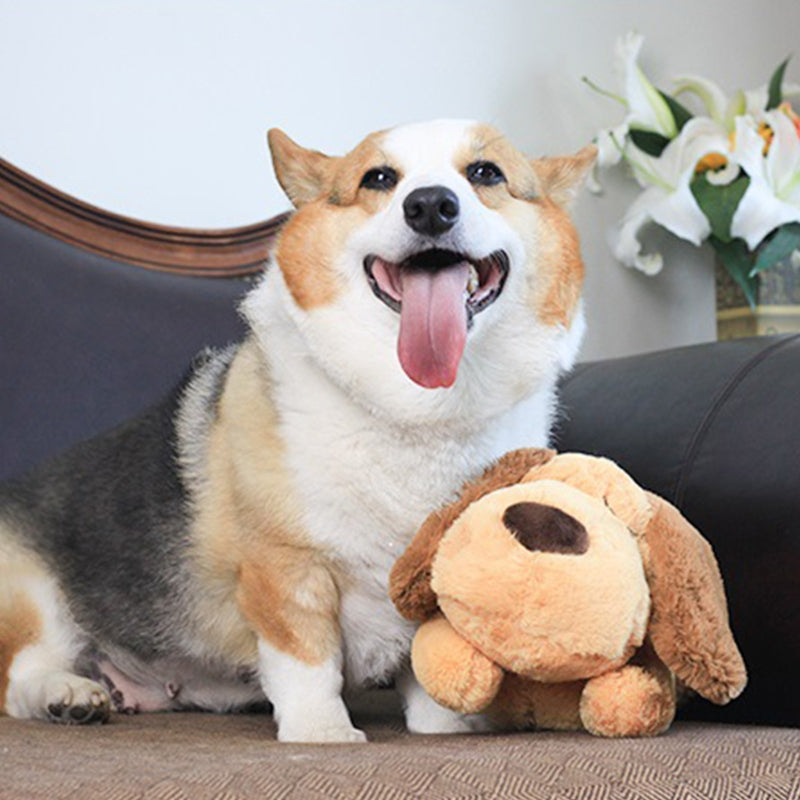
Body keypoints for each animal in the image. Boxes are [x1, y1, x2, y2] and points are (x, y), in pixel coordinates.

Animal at [0, 120, 596, 744]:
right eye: (378, 178)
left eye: (486, 173)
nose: (430, 205)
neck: (416, 411)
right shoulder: (286, 568)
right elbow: (307, 662)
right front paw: (323, 734)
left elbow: (426, 672)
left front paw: (445, 726)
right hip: (36, 598)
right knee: (20, 676)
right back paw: (67, 695)